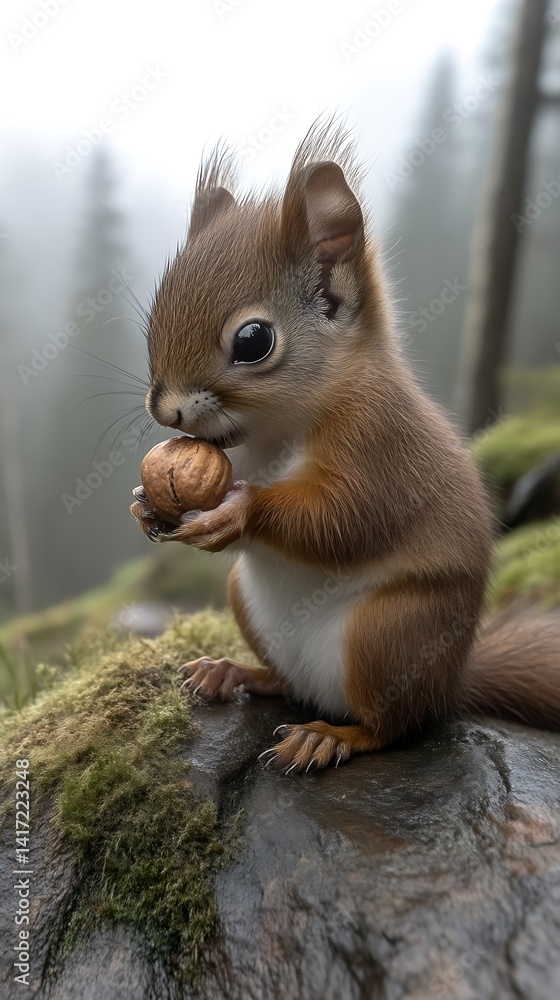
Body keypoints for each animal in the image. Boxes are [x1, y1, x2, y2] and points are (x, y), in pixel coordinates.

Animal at [131, 122, 560, 773]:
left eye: (253, 341)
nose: (166, 410)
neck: (276, 430)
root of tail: (450, 685)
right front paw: (144, 504)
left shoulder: (379, 442)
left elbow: (347, 518)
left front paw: (239, 510)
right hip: (248, 603)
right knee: (286, 683)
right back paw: (233, 673)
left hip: (391, 633)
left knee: (393, 725)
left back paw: (330, 738)